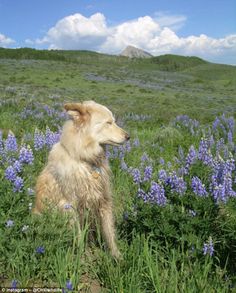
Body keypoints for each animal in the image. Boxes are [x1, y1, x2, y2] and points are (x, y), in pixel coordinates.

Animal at [33, 100, 129, 258]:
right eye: (108, 122)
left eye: (113, 121)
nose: (128, 136)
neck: (86, 160)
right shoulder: (70, 205)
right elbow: (79, 237)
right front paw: (82, 258)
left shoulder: (103, 200)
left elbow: (109, 233)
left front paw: (117, 257)